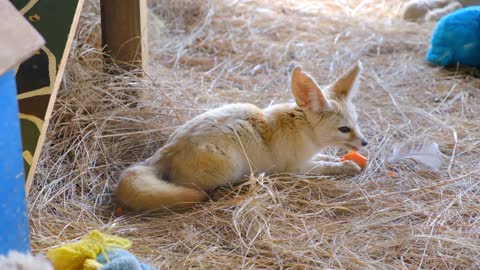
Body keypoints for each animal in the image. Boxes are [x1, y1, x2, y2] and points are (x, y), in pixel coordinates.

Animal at [115, 63, 368, 211]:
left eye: (356, 123)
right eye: (344, 129)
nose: (365, 142)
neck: (301, 127)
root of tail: (168, 148)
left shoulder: (308, 158)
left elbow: (327, 158)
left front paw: (341, 160)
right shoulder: (295, 168)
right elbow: (324, 167)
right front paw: (344, 167)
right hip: (229, 166)